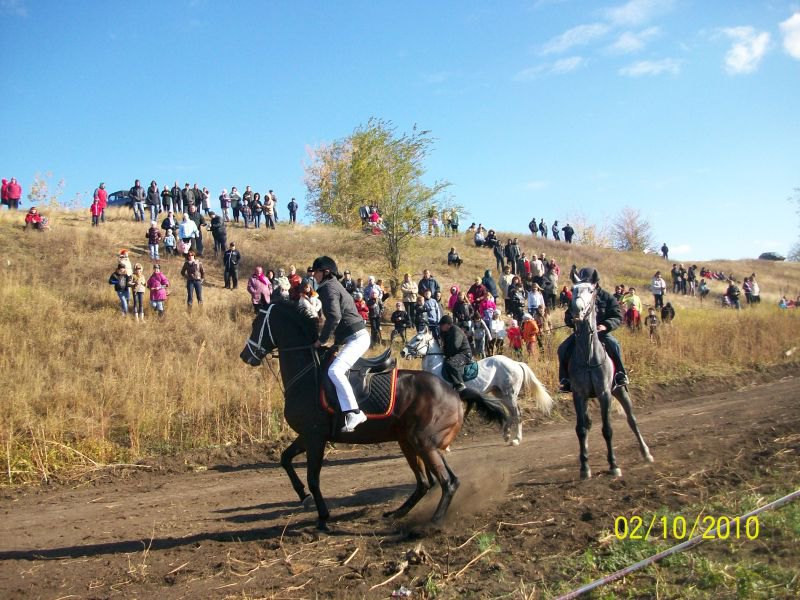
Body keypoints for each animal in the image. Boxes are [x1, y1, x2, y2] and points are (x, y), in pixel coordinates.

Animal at [239, 304, 506, 528]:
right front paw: (303, 496)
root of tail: (455, 391)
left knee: (447, 482)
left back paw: (433, 523)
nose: (245, 355)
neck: (308, 374)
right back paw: (398, 513)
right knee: (427, 482)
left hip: (423, 442)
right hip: (412, 442)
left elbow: (313, 477)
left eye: (256, 324)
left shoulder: (315, 437)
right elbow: (285, 459)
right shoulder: (308, 435)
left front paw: (323, 517)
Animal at [404, 328, 552, 446]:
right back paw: (506, 435)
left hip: (510, 394)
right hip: (500, 394)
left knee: (517, 414)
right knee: (511, 413)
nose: (403, 352)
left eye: (418, 339)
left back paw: (516, 439)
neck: (436, 369)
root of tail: (516, 363)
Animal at [564, 284, 652, 480]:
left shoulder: (605, 394)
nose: (577, 309)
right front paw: (584, 467)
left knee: (632, 420)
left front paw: (613, 465)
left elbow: (607, 429)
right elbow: (581, 429)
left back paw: (646, 453)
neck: (588, 356)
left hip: (620, 391)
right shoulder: (579, 395)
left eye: (590, 290)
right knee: (587, 424)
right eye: (573, 289)